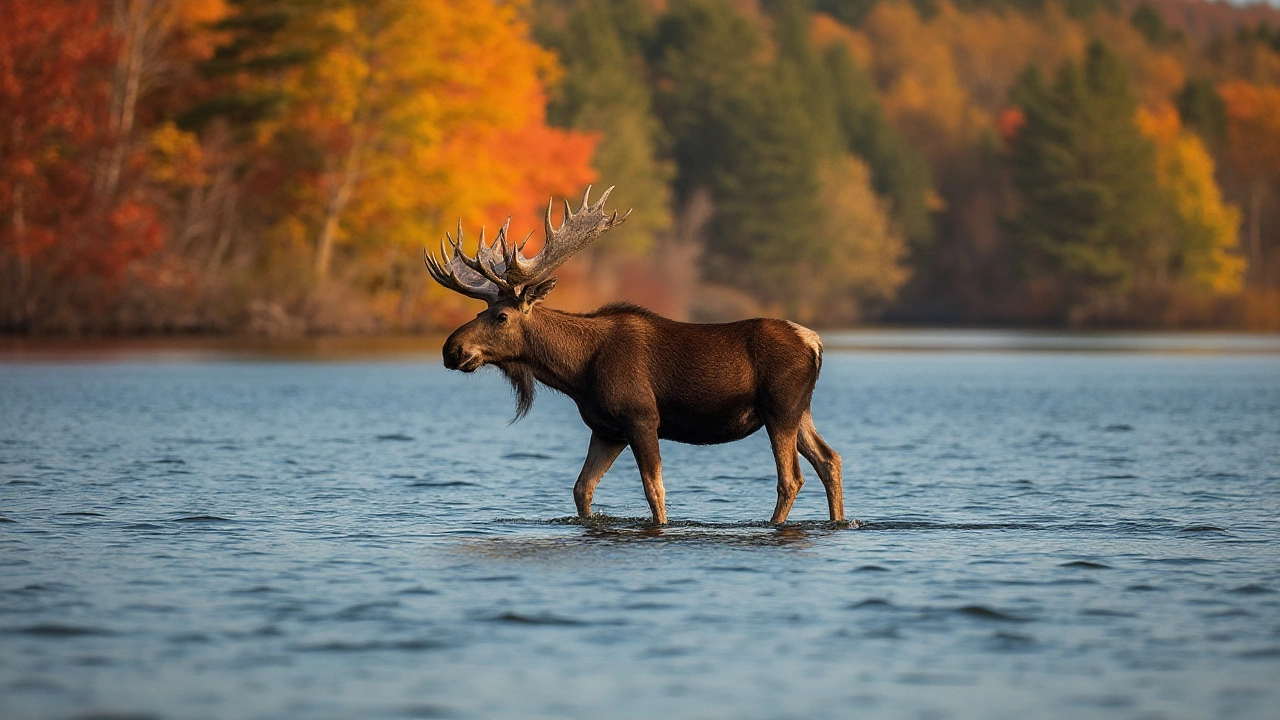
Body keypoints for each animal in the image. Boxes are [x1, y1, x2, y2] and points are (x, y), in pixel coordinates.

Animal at [424, 184, 844, 520]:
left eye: (501, 316)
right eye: (480, 311)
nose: (451, 349)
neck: (576, 371)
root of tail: (814, 341)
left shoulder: (641, 416)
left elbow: (654, 491)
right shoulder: (606, 429)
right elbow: (582, 489)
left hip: (780, 408)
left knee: (791, 478)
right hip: (800, 409)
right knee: (829, 460)